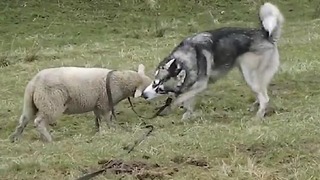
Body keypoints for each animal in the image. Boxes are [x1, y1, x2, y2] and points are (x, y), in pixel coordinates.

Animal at [8, 64, 151, 143]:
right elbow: (107, 118)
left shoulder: (97, 104)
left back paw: (16, 137)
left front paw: (98, 131)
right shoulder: (105, 103)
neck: (120, 81)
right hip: (51, 103)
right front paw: (112, 129)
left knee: (24, 120)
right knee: (39, 122)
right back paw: (49, 139)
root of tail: (34, 82)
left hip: (31, 103)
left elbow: (98, 119)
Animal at [142, 2, 284, 119]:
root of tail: (266, 35)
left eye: (161, 90)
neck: (187, 59)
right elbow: (187, 101)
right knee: (261, 93)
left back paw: (258, 116)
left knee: (265, 98)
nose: (144, 95)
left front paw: (173, 109)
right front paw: (187, 115)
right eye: (154, 82)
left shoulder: (200, 85)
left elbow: (181, 99)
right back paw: (255, 106)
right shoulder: (192, 86)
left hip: (250, 75)